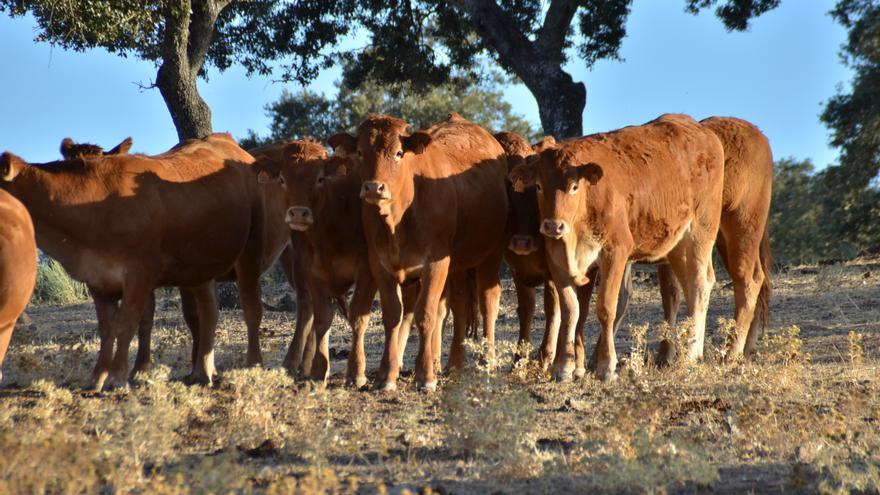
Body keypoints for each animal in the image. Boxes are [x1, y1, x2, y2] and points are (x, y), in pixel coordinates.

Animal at [1, 134, 266, 390]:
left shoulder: (140, 274)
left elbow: (126, 323)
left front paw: (118, 377)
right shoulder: (98, 279)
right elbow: (107, 329)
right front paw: (98, 376)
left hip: (250, 249)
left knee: (251, 307)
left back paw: (253, 364)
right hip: (200, 266)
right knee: (208, 312)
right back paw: (203, 371)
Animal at [330, 112, 508, 392]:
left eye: (399, 153)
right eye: (360, 152)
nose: (373, 188)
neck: (398, 219)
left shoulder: (436, 262)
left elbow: (426, 314)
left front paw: (425, 376)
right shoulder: (379, 263)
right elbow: (393, 315)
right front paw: (387, 376)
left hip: (491, 252)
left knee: (488, 301)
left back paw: (486, 363)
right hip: (457, 265)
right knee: (458, 305)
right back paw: (453, 363)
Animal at [508, 114, 720, 382]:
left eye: (574, 186)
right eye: (538, 186)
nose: (553, 225)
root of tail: (701, 130)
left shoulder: (615, 253)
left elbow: (606, 308)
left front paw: (606, 366)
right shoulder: (557, 260)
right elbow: (570, 311)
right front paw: (564, 367)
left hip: (700, 234)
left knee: (700, 284)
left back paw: (691, 353)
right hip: (676, 247)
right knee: (691, 288)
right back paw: (693, 350)